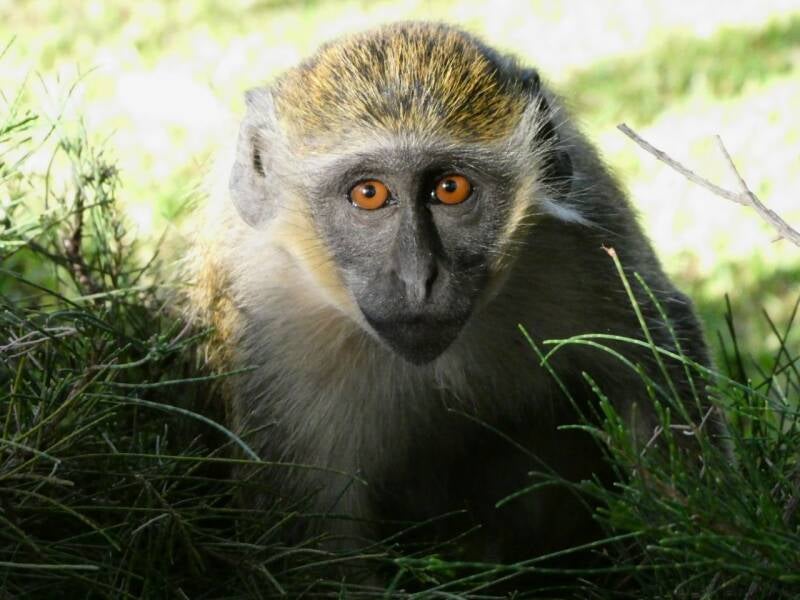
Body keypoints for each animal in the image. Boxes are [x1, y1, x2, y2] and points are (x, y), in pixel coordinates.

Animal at [189, 22, 724, 574]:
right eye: (369, 194)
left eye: (450, 188)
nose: (419, 277)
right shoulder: (270, 330)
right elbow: (312, 552)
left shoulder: (589, 230)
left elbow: (651, 374)